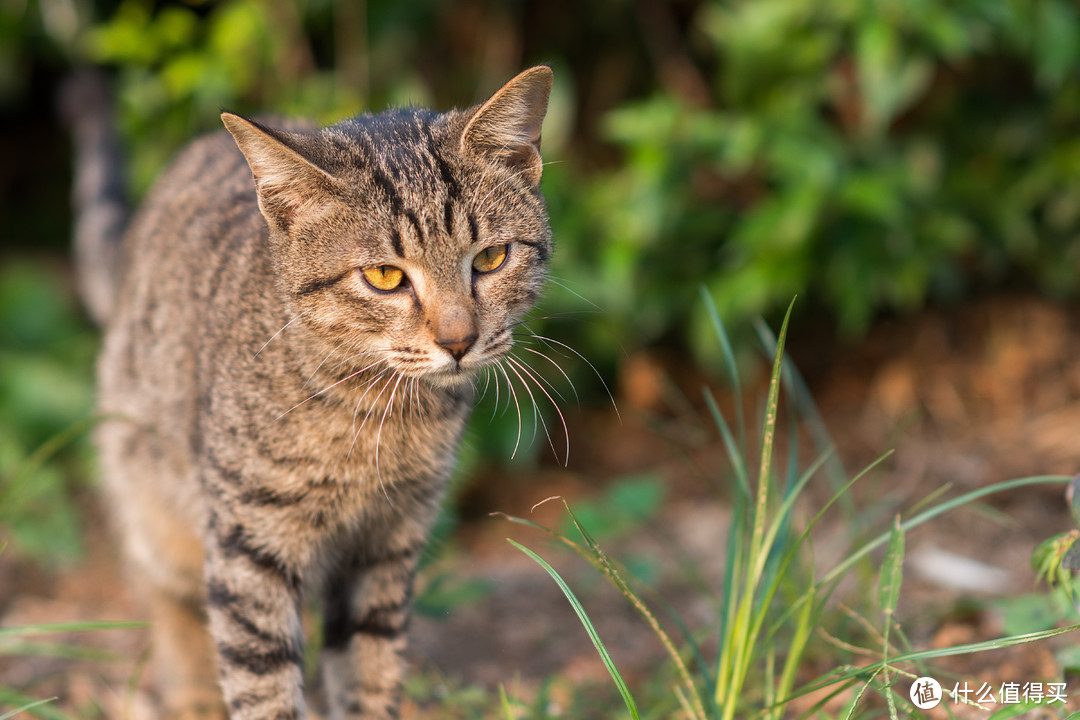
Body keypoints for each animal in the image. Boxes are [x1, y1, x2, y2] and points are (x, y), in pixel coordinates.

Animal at [67, 64, 552, 716]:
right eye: (385, 276)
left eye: (492, 258)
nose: (459, 340)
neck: (378, 414)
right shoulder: (250, 548)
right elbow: (263, 682)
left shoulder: (386, 545)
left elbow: (369, 670)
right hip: (155, 503)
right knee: (171, 605)